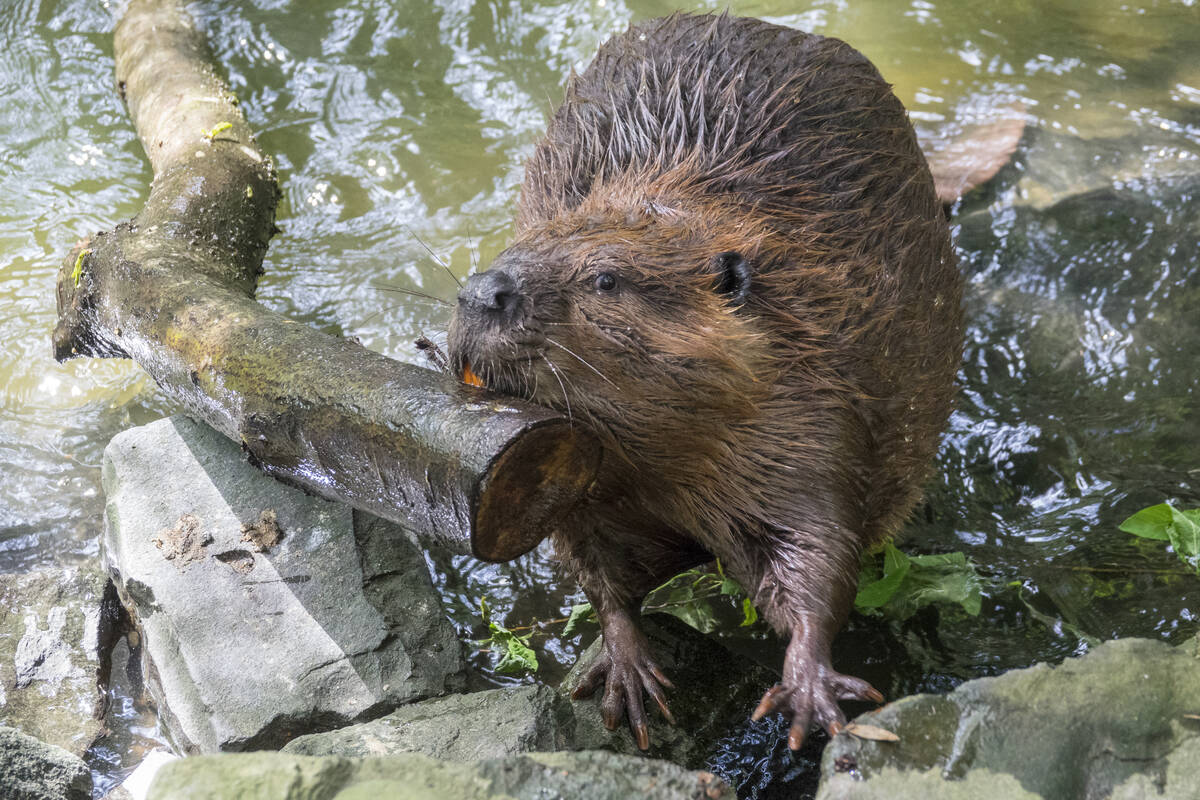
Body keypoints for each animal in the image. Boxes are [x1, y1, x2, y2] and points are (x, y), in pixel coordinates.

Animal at [451, 12, 964, 753]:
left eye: (605, 278)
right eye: (515, 245)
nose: (481, 292)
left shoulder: (808, 412)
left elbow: (819, 556)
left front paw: (807, 690)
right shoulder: (592, 486)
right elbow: (597, 567)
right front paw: (627, 675)